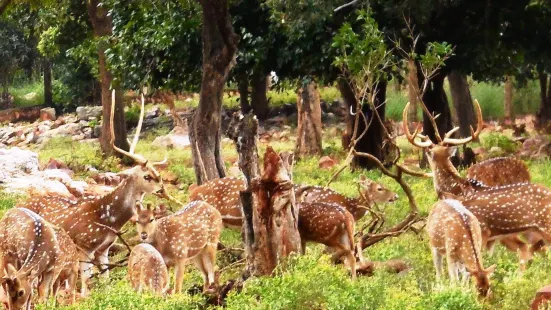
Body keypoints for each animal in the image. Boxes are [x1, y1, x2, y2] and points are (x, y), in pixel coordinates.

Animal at [18, 91, 167, 294]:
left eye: (156, 172)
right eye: (147, 176)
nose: (162, 188)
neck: (108, 219)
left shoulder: (104, 249)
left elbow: (105, 280)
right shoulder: (84, 245)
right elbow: (86, 285)